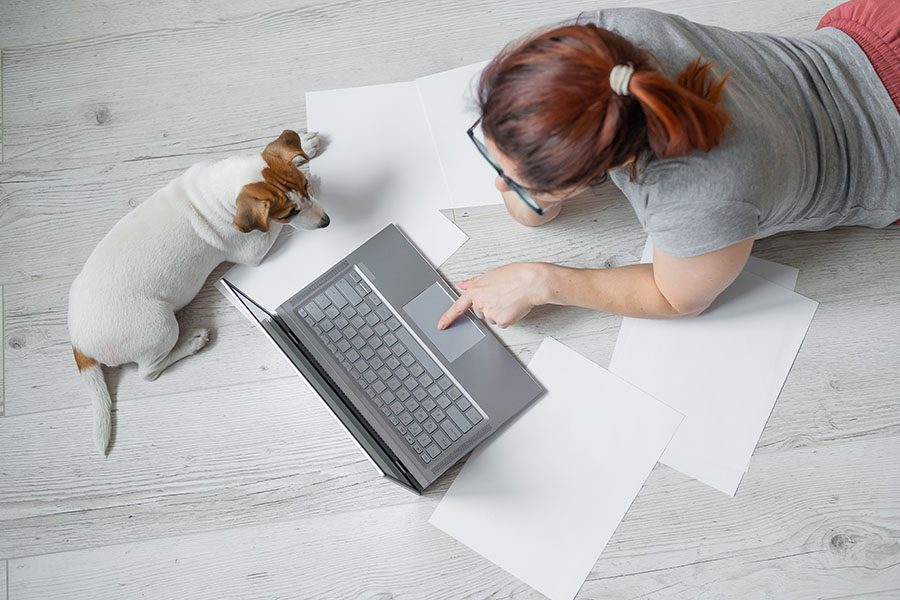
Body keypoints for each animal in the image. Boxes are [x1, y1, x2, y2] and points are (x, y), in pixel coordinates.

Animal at [69, 129, 330, 452]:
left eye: (303, 189)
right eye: (290, 213)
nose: (326, 222)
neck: (219, 190)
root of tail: (79, 342)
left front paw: (305, 148)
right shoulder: (253, 249)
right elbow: (270, 230)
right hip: (159, 327)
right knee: (148, 371)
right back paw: (193, 342)